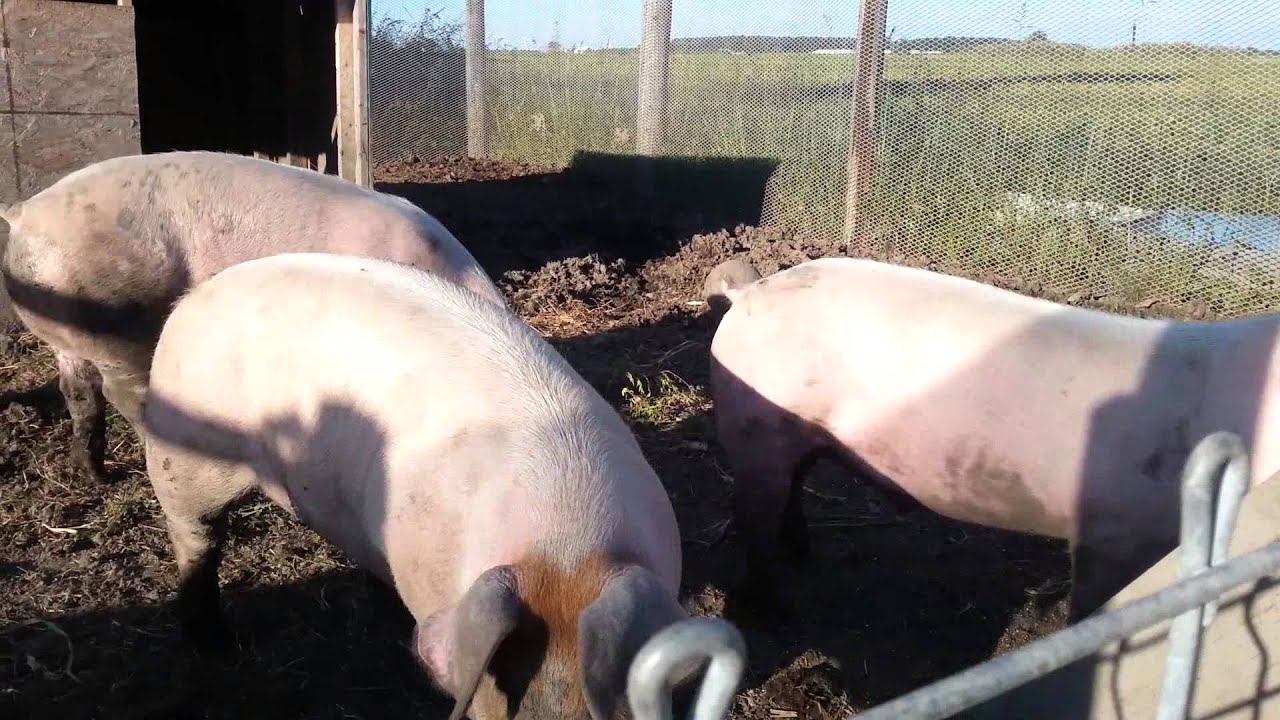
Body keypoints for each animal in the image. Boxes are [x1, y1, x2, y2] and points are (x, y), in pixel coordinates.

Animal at [0, 150, 505, 485]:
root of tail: (23, 213)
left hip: (67, 329)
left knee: (77, 393)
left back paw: (94, 476)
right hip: (115, 318)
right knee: (121, 391)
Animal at [141, 252, 687, 720]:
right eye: (500, 678)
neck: (564, 550)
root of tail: (191, 300)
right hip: (184, 458)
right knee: (196, 541)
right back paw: (218, 644)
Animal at [706, 255, 1280, 621]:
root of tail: (748, 292)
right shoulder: (1114, 531)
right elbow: (1096, 604)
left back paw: (805, 555)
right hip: (756, 429)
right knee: (752, 513)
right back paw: (771, 610)